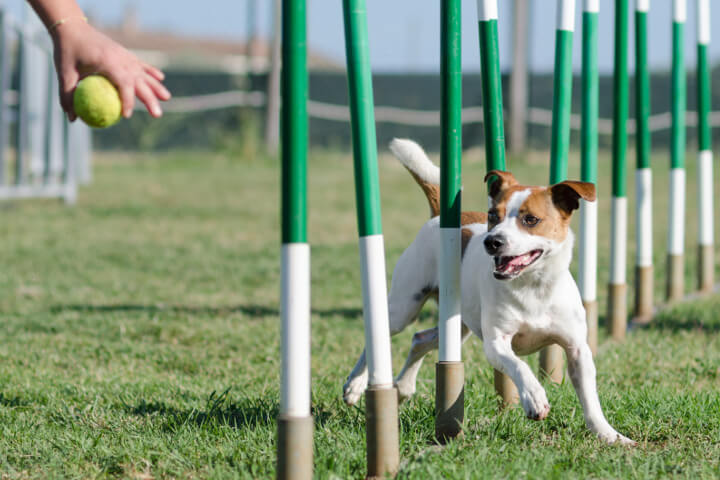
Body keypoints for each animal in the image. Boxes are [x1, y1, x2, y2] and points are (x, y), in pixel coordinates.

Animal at [346, 139, 632, 446]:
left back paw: (403, 387)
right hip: (404, 306)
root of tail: (439, 215)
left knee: (420, 338)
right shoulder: (496, 343)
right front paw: (534, 398)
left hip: (457, 325)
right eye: (494, 216)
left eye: (531, 220)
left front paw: (610, 435)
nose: (492, 241)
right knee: (380, 335)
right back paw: (355, 385)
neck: (532, 287)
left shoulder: (577, 348)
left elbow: (590, 398)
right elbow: (519, 366)